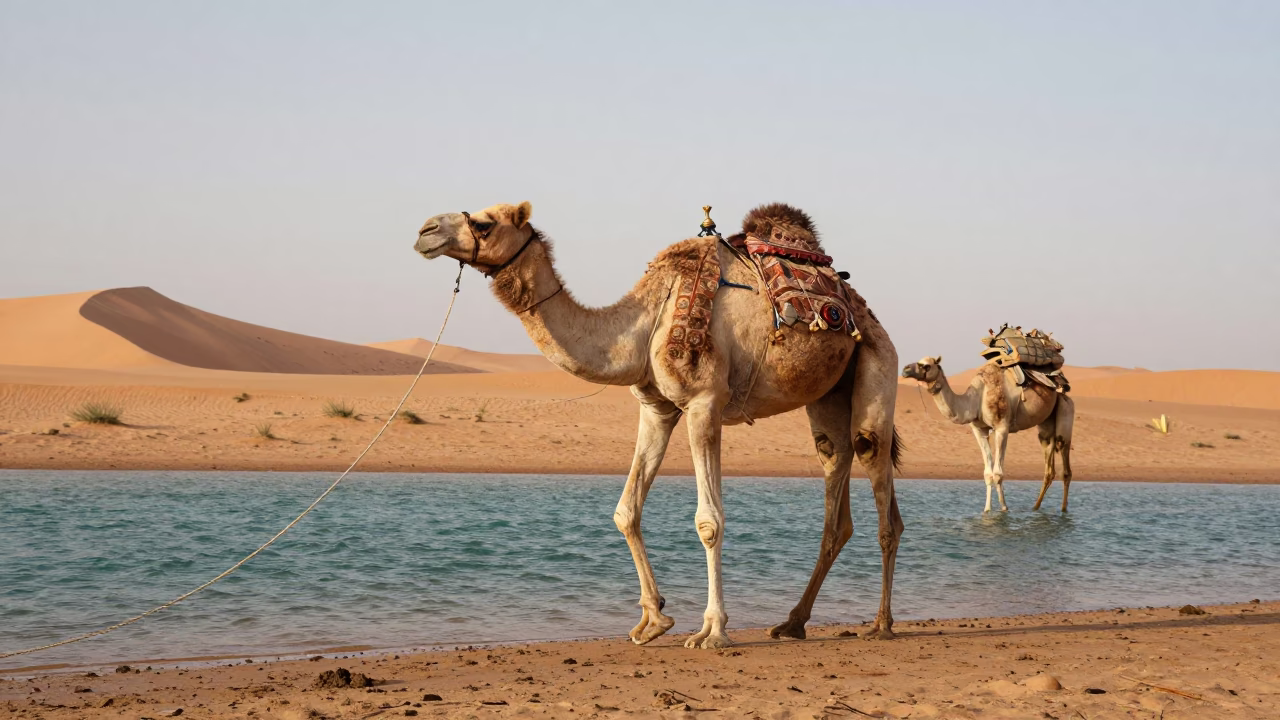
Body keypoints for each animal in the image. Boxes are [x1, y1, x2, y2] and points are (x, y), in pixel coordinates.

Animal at [414, 201, 904, 648]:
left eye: (484, 223)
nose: (424, 230)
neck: (648, 318)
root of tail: (863, 311)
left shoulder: (704, 402)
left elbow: (709, 521)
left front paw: (712, 631)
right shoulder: (657, 408)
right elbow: (626, 510)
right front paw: (653, 620)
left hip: (878, 360)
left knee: (875, 475)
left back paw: (881, 624)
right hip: (827, 396)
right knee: (836, 490)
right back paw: (792, 623)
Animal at [901, 356, 1075, 512]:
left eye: (927, 365)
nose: (905, 369)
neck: (977, 398)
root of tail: (1059, 386)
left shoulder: (1002, 428)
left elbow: (998, 473)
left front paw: (1004, 509)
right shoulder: (979, 430)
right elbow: (988, 473)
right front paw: (987, 510)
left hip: (1066, 409)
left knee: (1065, 459)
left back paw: (1063, 510)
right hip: (1045, 425)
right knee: (1049, 465)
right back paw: (1036, 508)